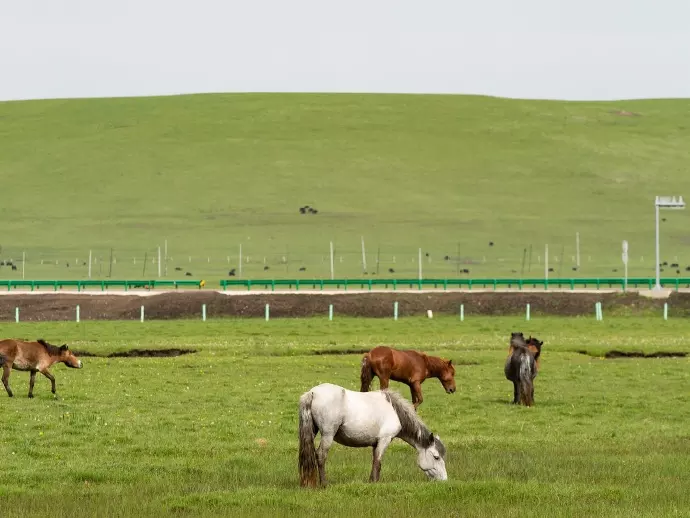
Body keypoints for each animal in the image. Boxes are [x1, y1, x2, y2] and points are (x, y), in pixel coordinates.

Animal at [296, 382, 446, 488]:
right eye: (436, 457)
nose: (444, 480)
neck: (394, 411)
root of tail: (313, 393)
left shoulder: (376, 443)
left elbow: (374, 461)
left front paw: (371, 481)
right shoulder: (384, 440)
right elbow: (378, 463)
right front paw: (375, 483)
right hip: (328, 435)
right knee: (321, 455)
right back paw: (324, 484)